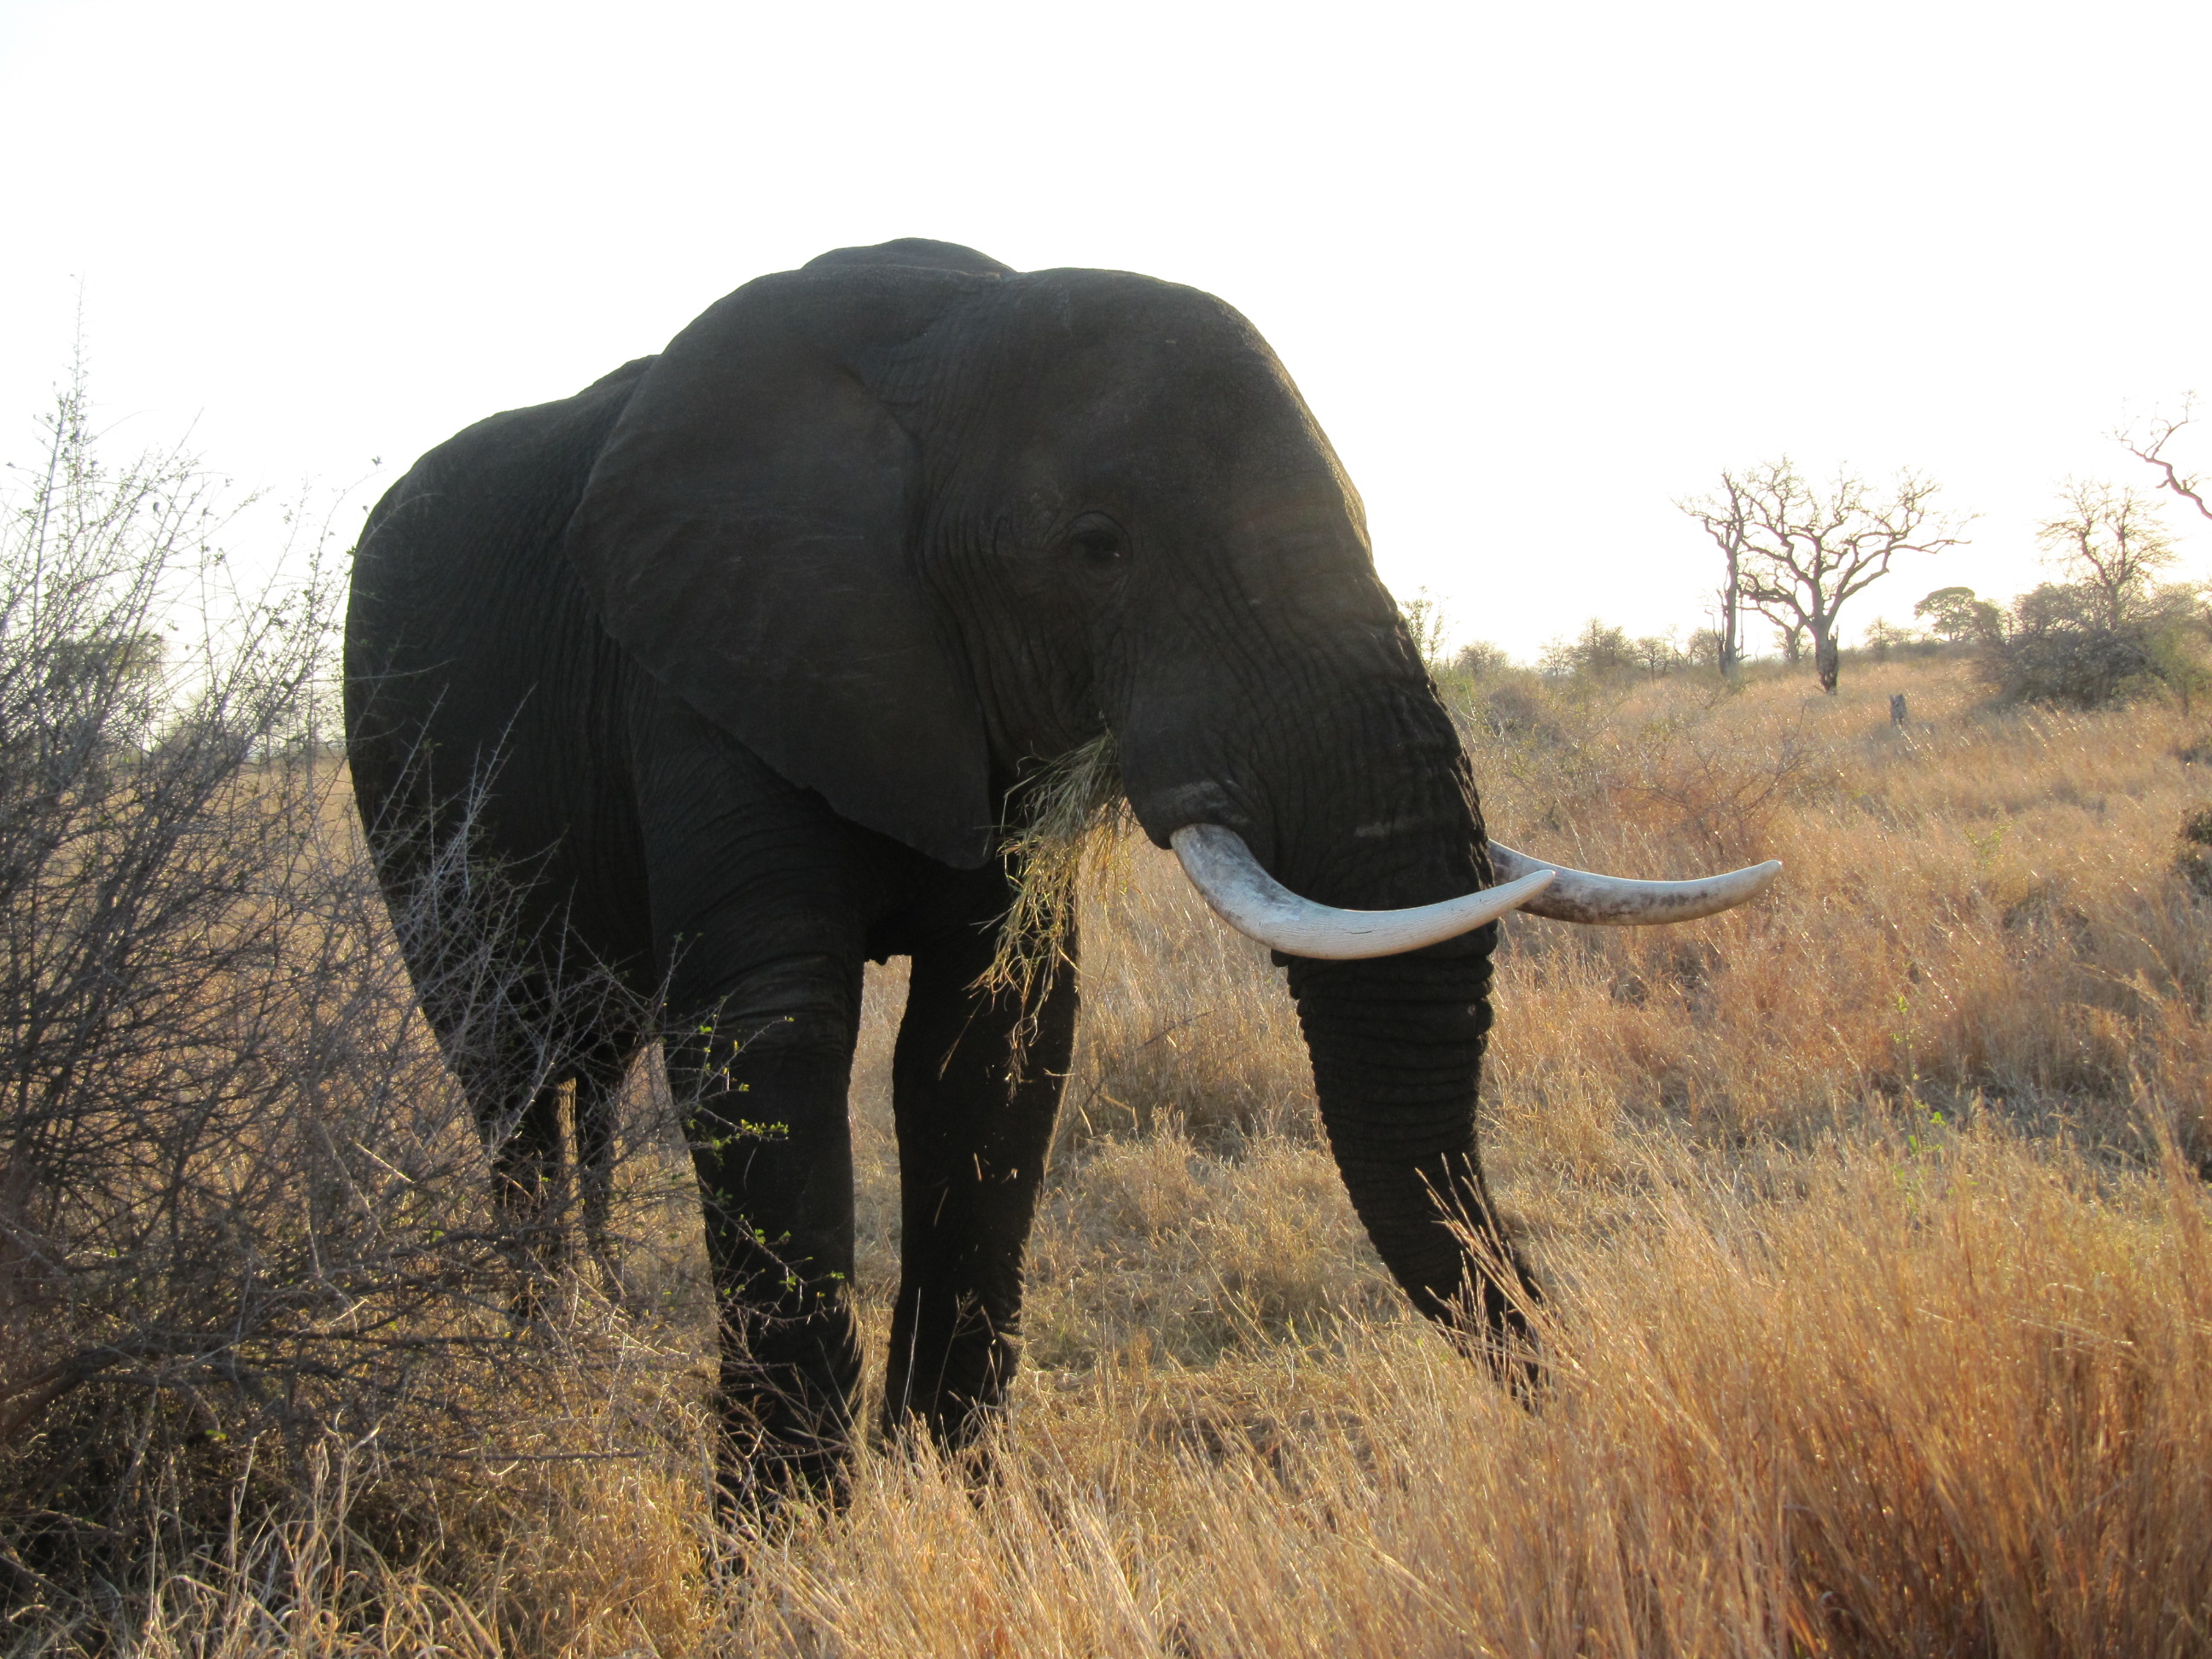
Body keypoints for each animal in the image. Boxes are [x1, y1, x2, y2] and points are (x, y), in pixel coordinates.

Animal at [344, 237, 1776, 1498]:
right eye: (1099, 547)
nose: (1585, 1410)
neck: (949, 333)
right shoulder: (708, 658)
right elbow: (772, 1033)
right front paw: (786, 1553)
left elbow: (1001, 1030)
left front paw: (949, 1497)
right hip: (401, 771)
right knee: (507, 1061)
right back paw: (548, 1370)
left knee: (583, 1064)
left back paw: (598, 1338)